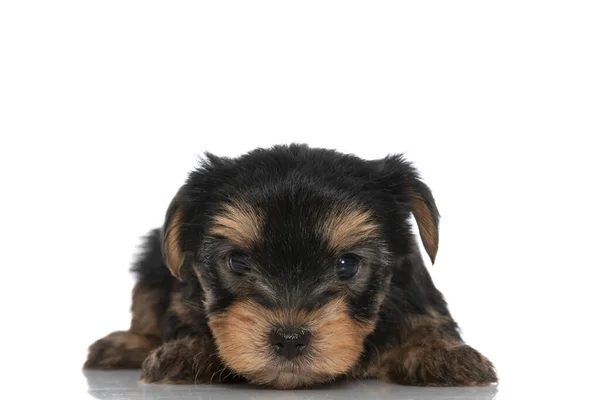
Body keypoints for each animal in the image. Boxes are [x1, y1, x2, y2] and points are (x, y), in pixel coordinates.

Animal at [84, 143, 496, 388]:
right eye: (238, 262)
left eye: (347, 265)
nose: (289, 339)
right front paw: (188, 351)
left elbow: (427, 321)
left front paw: (442, 353)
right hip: (152, 260)